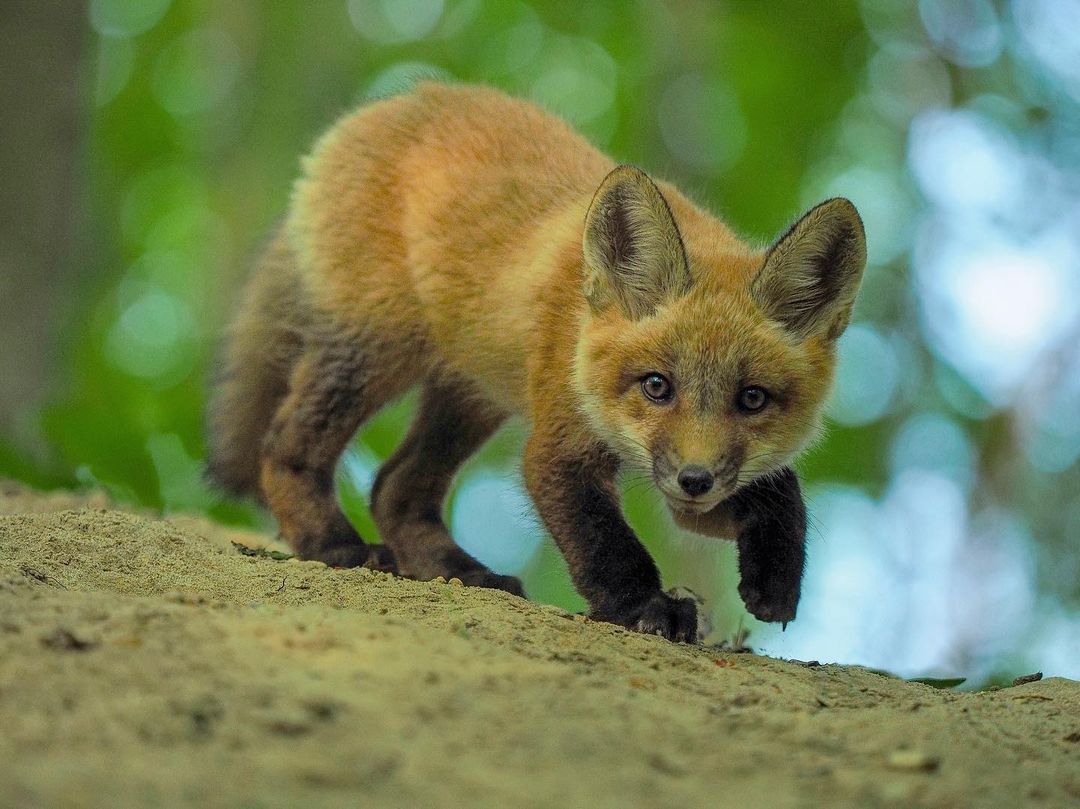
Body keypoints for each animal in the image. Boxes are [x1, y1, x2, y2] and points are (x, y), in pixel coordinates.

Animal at [208, 80, 868, 639]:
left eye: (751, 398)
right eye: (657, 386)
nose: (695, 478)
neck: (580, 324)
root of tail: (381, 107)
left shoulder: (692, 487)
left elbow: (778, 489)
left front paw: (776, 578)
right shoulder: (560, 444)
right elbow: (607, 546)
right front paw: (647, 607)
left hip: (470, 393)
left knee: (396, 487)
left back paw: (459, 570)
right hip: (372, 351)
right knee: (286, 445)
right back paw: (332, 543)